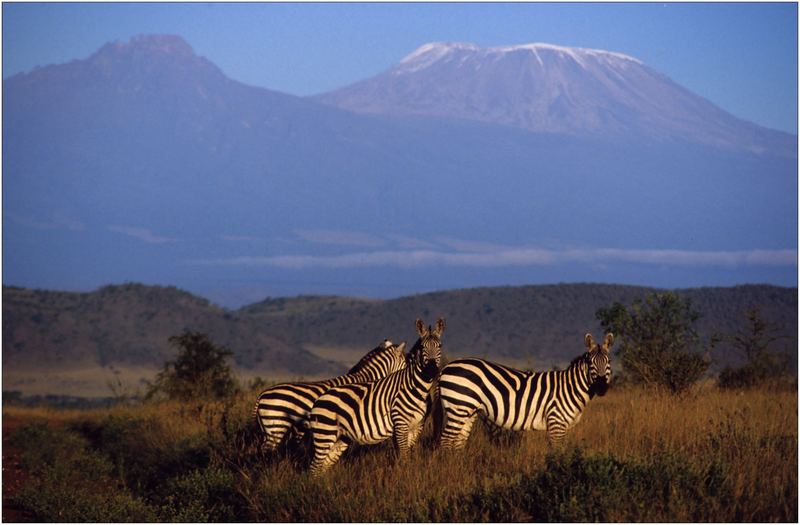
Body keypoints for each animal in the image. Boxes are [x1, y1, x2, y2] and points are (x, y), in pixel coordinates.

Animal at [306, 318, 444, 476]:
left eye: (440, 346)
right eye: (422, 347)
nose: (432, 370)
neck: (417, 388)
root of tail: (319, 400)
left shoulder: (416, 426)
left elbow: (408, 454)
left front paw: (408, 474)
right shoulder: (400, 424)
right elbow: (403, 456)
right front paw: (404, 477)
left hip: (340, 437)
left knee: (323, 465)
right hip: (325, 434)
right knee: (314, 467)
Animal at [438, 332, 612, 450]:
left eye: (608, 362)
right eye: (591, 363)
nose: (602, 388)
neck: (571, 388)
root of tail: (446, 367)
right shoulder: (556, 422)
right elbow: (558, 453)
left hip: (468, 410)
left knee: (458, 441)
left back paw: (461, 466)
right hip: (458, 406)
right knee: (446, 440)